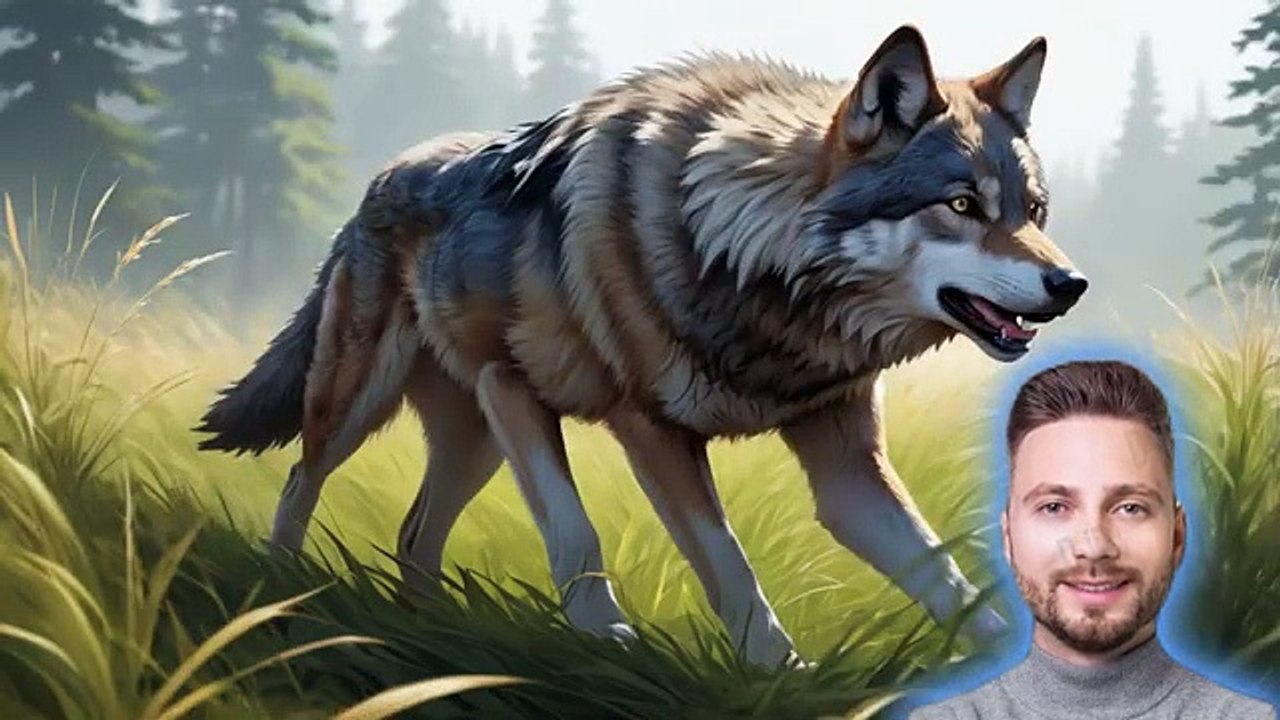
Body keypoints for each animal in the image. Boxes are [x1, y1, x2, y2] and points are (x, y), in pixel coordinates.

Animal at [197, 25, 1087, 668]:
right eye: (963, 205)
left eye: (1035, 210)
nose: (1071, 285)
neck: (743, 262)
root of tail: (380, 179)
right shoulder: (626, 423)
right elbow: (687, 556)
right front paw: (748, 667)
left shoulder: (843, 462)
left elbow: (945, 577)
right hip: (378, 403)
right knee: (300, 480)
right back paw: (279, 596)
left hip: (477, 436)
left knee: (414, 536)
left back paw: (431, 632)